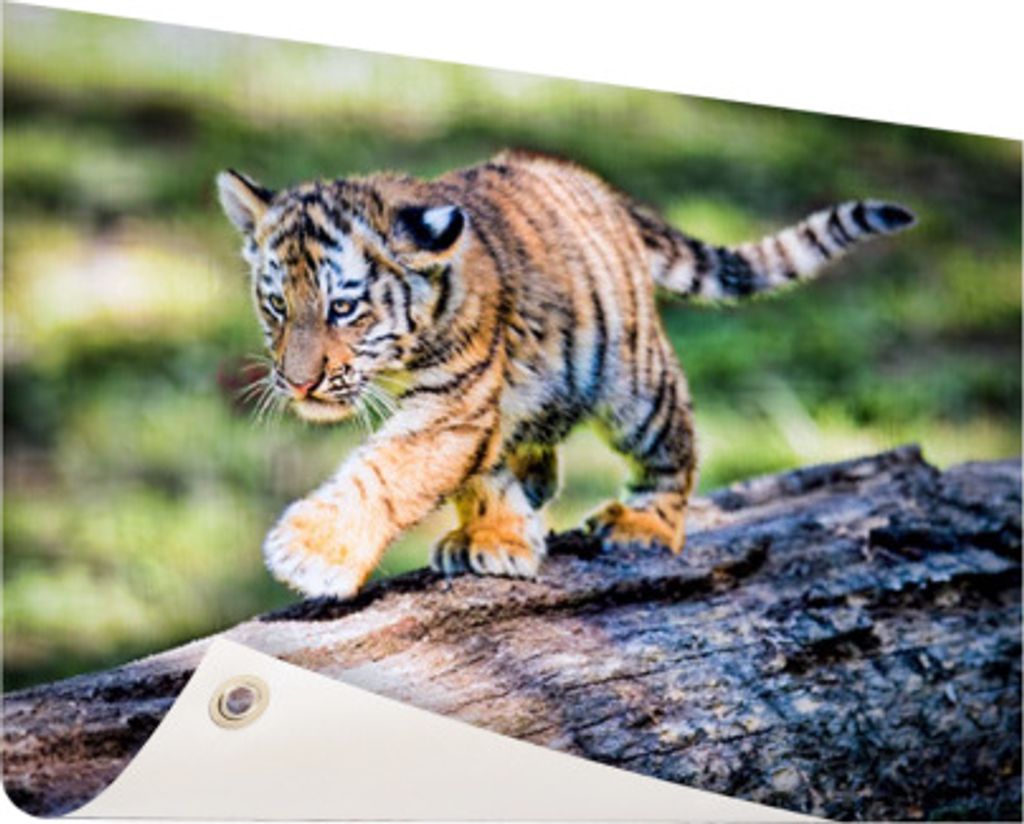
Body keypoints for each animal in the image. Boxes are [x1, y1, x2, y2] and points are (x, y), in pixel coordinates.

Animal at [216, 150, 914, 598]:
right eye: (276, 305)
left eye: (342, 308)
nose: (297, 383)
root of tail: (601, 190)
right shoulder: (479, 408)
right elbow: (477, 476)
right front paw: (493, 537)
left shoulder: (453, 404)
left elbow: (389, 472)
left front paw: (310, 553)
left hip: (636, 385)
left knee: (675, 451)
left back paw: (644, 525)